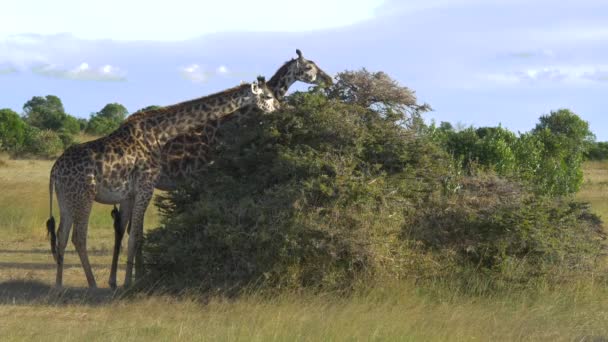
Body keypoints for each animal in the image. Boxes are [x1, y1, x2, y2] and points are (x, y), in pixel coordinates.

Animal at [45, 76, 280, 288]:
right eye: (268, 96)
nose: (281, 108)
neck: (160, 134)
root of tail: (54, 170)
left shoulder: (132, 193)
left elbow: (134, 233)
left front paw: (128, 280)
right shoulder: (146, 187)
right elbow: (135, 236)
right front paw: (129, 283)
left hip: (66, 199)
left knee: (62, 236)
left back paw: (58, 285)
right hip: (84, 196)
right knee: (78, 237)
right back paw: (92, 284)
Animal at [108, 48, 332, 288]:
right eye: (309, 66)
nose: (329, 79)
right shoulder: (203, 175)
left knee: (126, 226)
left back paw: (126, 278)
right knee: (126, 227)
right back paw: (124, 279)